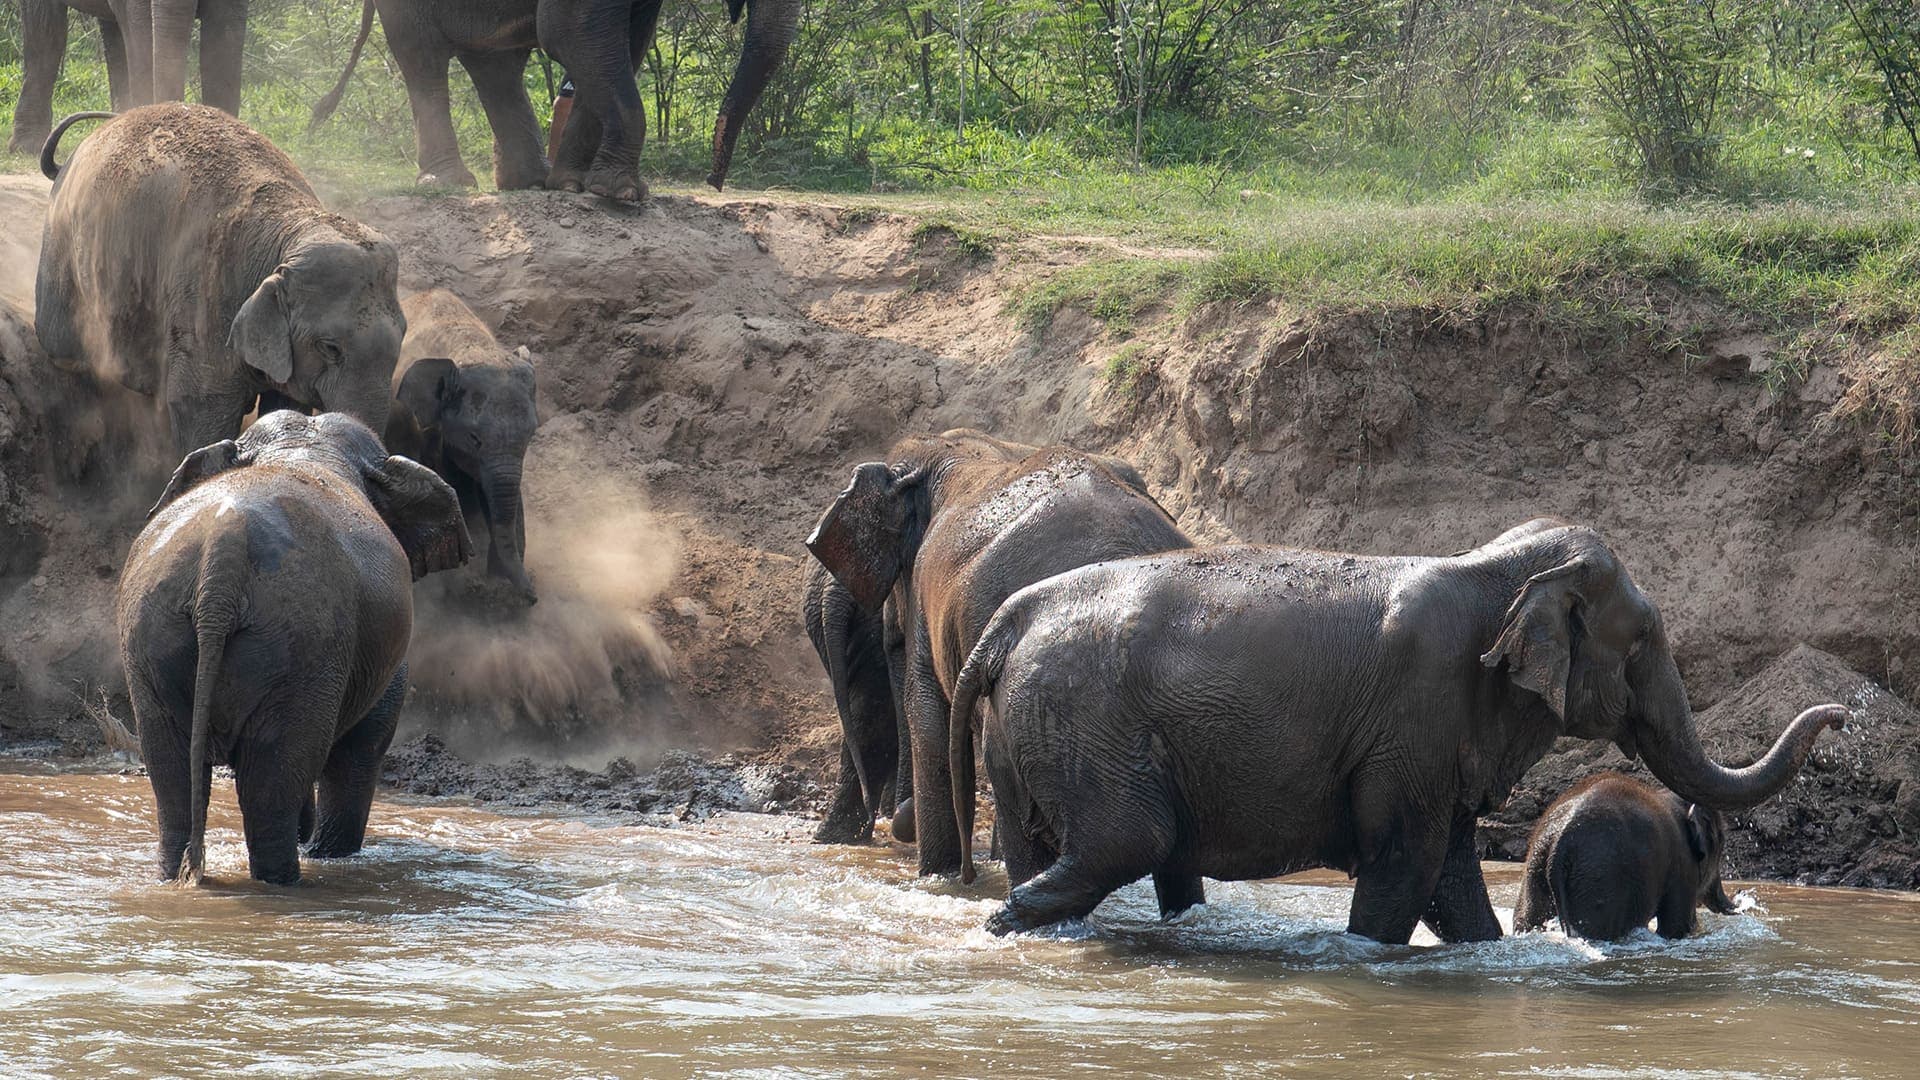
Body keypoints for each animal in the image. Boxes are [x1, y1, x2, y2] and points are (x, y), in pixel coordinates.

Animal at [35, 105, 406, 457]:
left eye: (400, 342)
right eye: (330, 348)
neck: (288, 227)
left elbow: (287, 402)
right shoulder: (207, 288)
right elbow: (201, 403)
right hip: (60, 245)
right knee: (60, 343)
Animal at [118, 410, 472, 885]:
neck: (304, 448)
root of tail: (223, 560)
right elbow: (363, 743)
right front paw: (330, 854)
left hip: (157, 635)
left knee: (172, 774)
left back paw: (178, 877)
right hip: (303, 647)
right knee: (274, 779)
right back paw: (283, 882)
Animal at [309, 0, 799, 198]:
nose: (713, 182)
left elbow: (628, 43)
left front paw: (572, 185)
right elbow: (569, 34)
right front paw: (622, 194)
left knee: (496, 63)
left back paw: (530, 182)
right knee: (422, 55)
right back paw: (450, 183)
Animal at [1514, 772, 1737, 941]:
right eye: (1721, 840)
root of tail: (1559, 845)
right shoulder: (1683, 864)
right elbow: (1677, 926)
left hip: (1536, 866)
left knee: (1527, 919)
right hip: (1598, 880)